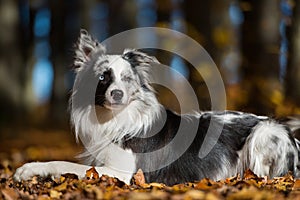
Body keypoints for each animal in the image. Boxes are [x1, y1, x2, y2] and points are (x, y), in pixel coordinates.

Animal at [14, 28, 300, 185]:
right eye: (103, 77)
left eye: (127, 78)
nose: (117, 94)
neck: (116, 119)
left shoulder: (120, 172)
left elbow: (62, 163)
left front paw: (27, 169)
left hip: (265, 133)